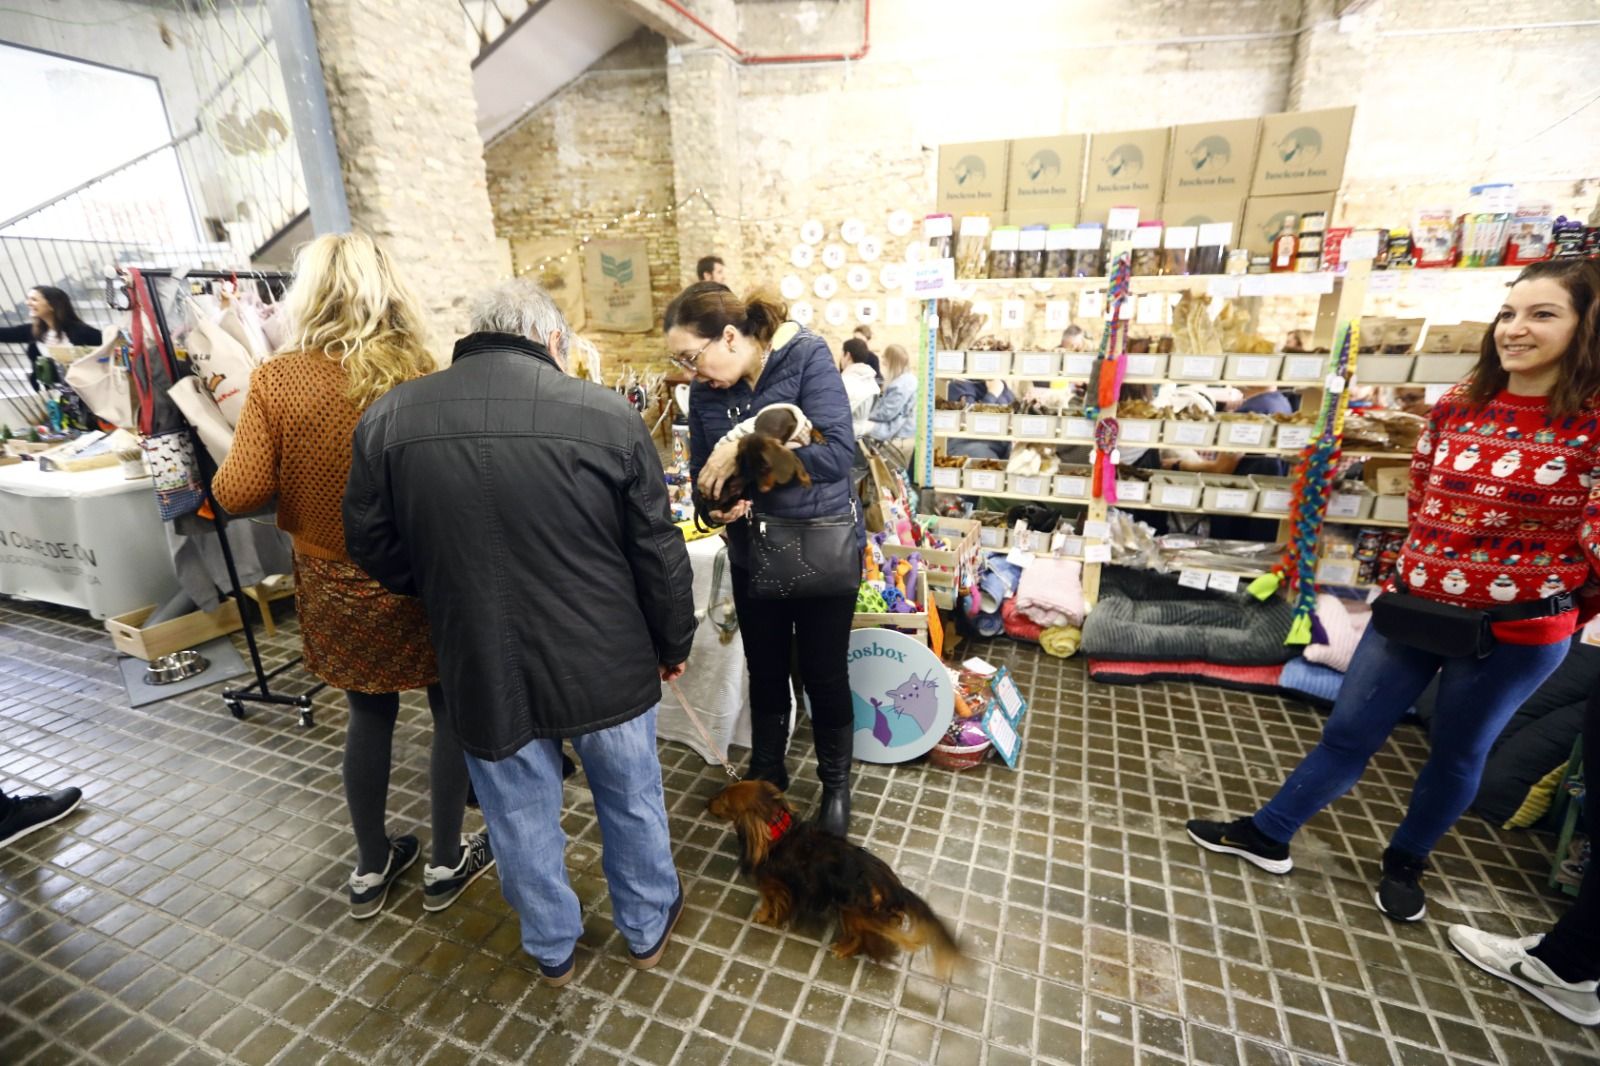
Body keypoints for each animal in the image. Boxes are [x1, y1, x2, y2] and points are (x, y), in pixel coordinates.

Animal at [707, 771, 953, 973]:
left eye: (724, 801)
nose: (706, 802)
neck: (777, 833)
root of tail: (894, 888)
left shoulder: (773, 887)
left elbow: (770, 904)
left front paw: (763, 916)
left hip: (851, 911)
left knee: (859, 937)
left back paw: (843, 949)